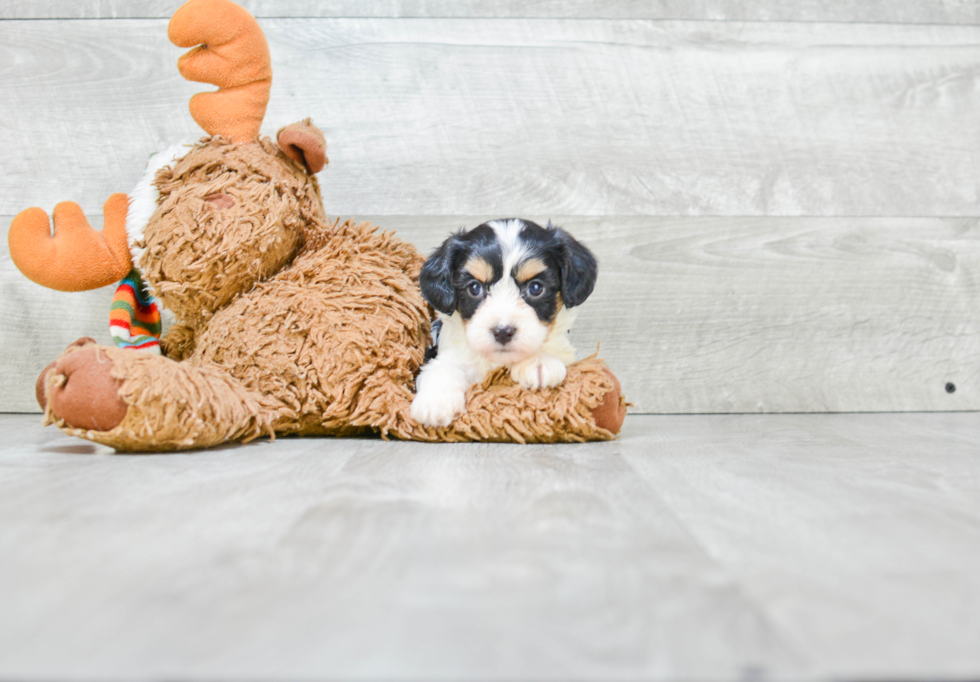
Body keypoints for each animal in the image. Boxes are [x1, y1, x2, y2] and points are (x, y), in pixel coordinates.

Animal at [412, 219, 596, 424]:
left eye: (535, 288)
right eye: (474, 288)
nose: (502, 332)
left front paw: (538, 362)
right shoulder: (445, 355)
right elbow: (442, 368)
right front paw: (435, 403)